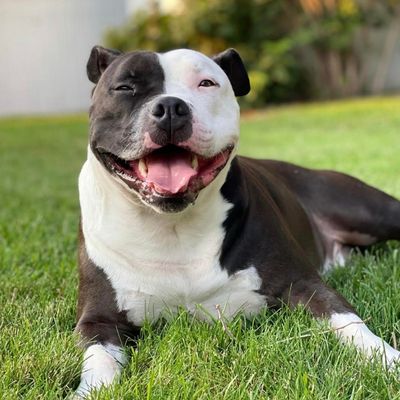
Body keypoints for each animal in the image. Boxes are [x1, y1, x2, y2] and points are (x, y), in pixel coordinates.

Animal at [74, 46, 400, 396]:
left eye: (206, 83)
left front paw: (389, 361)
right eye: (124, 87)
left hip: (366, 209)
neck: (172, 225)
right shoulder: (99, 320)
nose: (171, 107)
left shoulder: (304, 286)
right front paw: (88, 392)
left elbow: (350, 323)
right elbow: (99, 364)